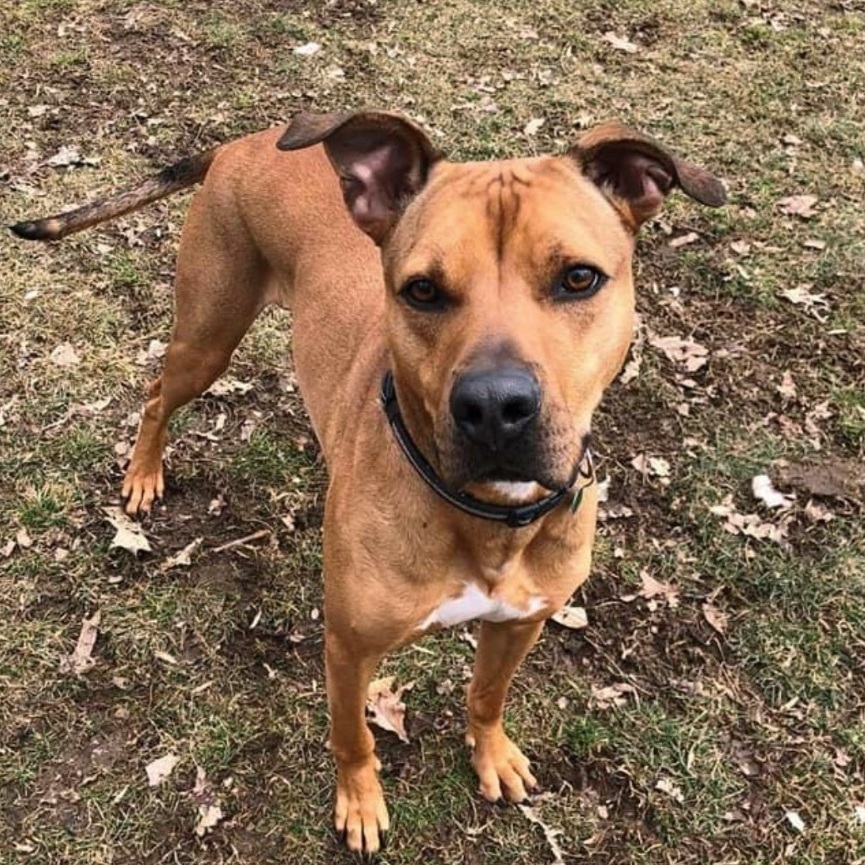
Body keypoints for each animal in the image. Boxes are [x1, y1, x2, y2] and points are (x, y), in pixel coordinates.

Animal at [10, 113, 724, 852]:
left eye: (579, 278)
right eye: (422, 290)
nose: (494, 406)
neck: (485, 518)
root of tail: (247, 141)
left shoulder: (521, 623)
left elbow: (487, 694)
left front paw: (491, 752)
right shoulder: (349, 649)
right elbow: (352, 736)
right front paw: (359, 802)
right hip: (208, 333)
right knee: (157, 395)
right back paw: (144, 473)